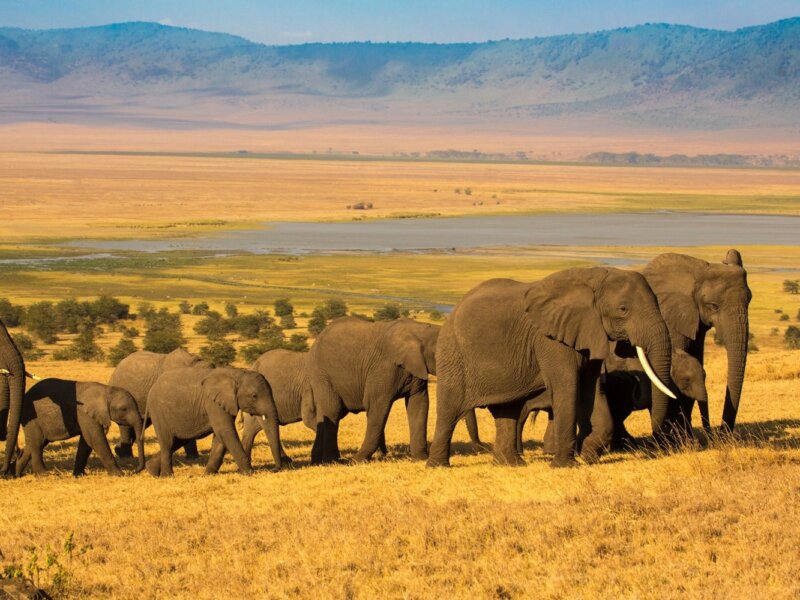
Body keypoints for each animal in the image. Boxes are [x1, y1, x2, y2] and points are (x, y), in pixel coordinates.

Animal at [15, 378, 145, 477]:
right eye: (123, 409)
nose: (134, 471)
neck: (106, 390)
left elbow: (86, 442)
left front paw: (79, 475)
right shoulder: (84, 414)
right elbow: (95, 439)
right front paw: (119, 475)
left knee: (34, 443)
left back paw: (16, 474)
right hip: (31, 417)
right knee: (37, 443)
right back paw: (44, 475)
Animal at [145, 366, 283, 477]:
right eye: (254, 396)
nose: (275, 469)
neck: (237, 373)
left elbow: (220, 437)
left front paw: (208, 474)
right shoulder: (212, 402)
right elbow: (225, 431)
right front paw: (249, 473)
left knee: (178, 440)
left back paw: (151, 470)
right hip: (158, 411)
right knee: (168, 442)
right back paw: (166, 476)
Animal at [308, 316, 441, 464]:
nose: (354, 459)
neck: (420, 330)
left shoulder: (417, 368)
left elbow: (419, 404)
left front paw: (420, 459)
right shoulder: (383, 367)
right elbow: (377, 406)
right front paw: (357, 461)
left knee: (324, 412)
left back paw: (318, 461)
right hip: (321, 374)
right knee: (333, 410)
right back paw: (333, 461)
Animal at [427, 267, 676, 469]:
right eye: (623, 309)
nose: (656, 446)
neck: (594, 278)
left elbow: (591, 389)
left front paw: (588, 456)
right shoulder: (549, 339)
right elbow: (567, 386)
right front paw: (566, 465)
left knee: (508, 410)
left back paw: (510, 464)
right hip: (452, 353)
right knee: (450, 409)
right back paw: (438, 466)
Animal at [642, 250, 751, 433]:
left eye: (749, 301)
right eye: (713, 306)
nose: (721, 433)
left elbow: (696, 361)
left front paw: (686, 434)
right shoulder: (671, 320)